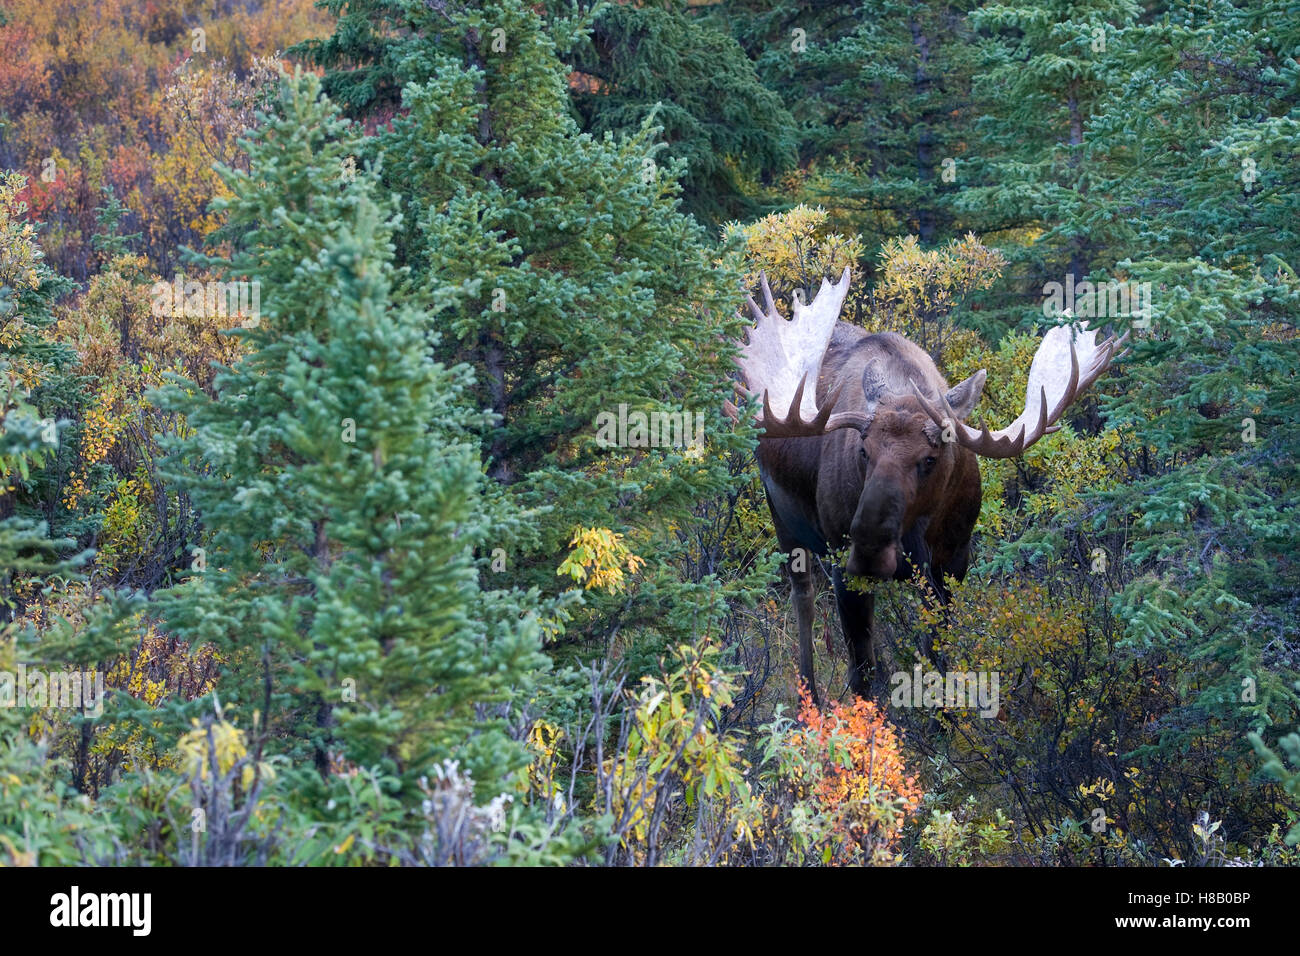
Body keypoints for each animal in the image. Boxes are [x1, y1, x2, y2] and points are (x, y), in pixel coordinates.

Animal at [743, 269, 1128, 702]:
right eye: (863, 450)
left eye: (930, 458)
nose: (870, 545)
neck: (918, 535)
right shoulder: (846, 568)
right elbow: (862, 674)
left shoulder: (953, 564)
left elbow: (935, 663)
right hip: (783, 521)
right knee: (804, 600)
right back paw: (807, 696)